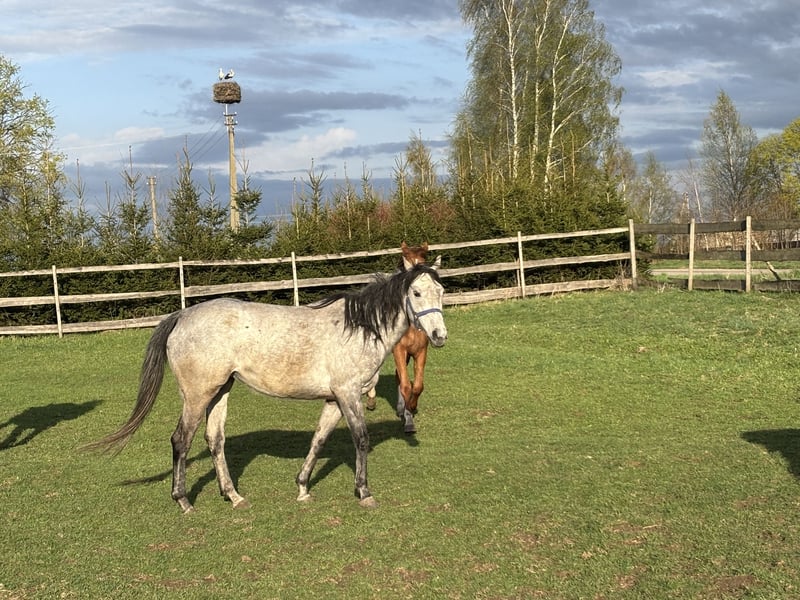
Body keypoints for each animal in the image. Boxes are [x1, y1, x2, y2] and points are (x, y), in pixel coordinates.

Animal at [86, 264, 447, 513]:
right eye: (416, 294)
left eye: (441, 291)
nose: (439, 335)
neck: (358, 328)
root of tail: (182, 315)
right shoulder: (348, 394)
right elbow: (361, 439)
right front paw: (364, 492)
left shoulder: (334, 399)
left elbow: (319, 439)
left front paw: (302, 488)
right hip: (197, 395)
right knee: (181, 440)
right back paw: (184, 501)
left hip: (220, 391)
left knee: (215, 440)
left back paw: (233, 496)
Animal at [366, 242, 437, 434]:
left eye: (424, 262)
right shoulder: (400, 350)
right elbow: (406, 385)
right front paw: (408, 417)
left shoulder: (420, 351)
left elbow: (416, 385)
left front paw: (409, 411)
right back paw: (371, 400)